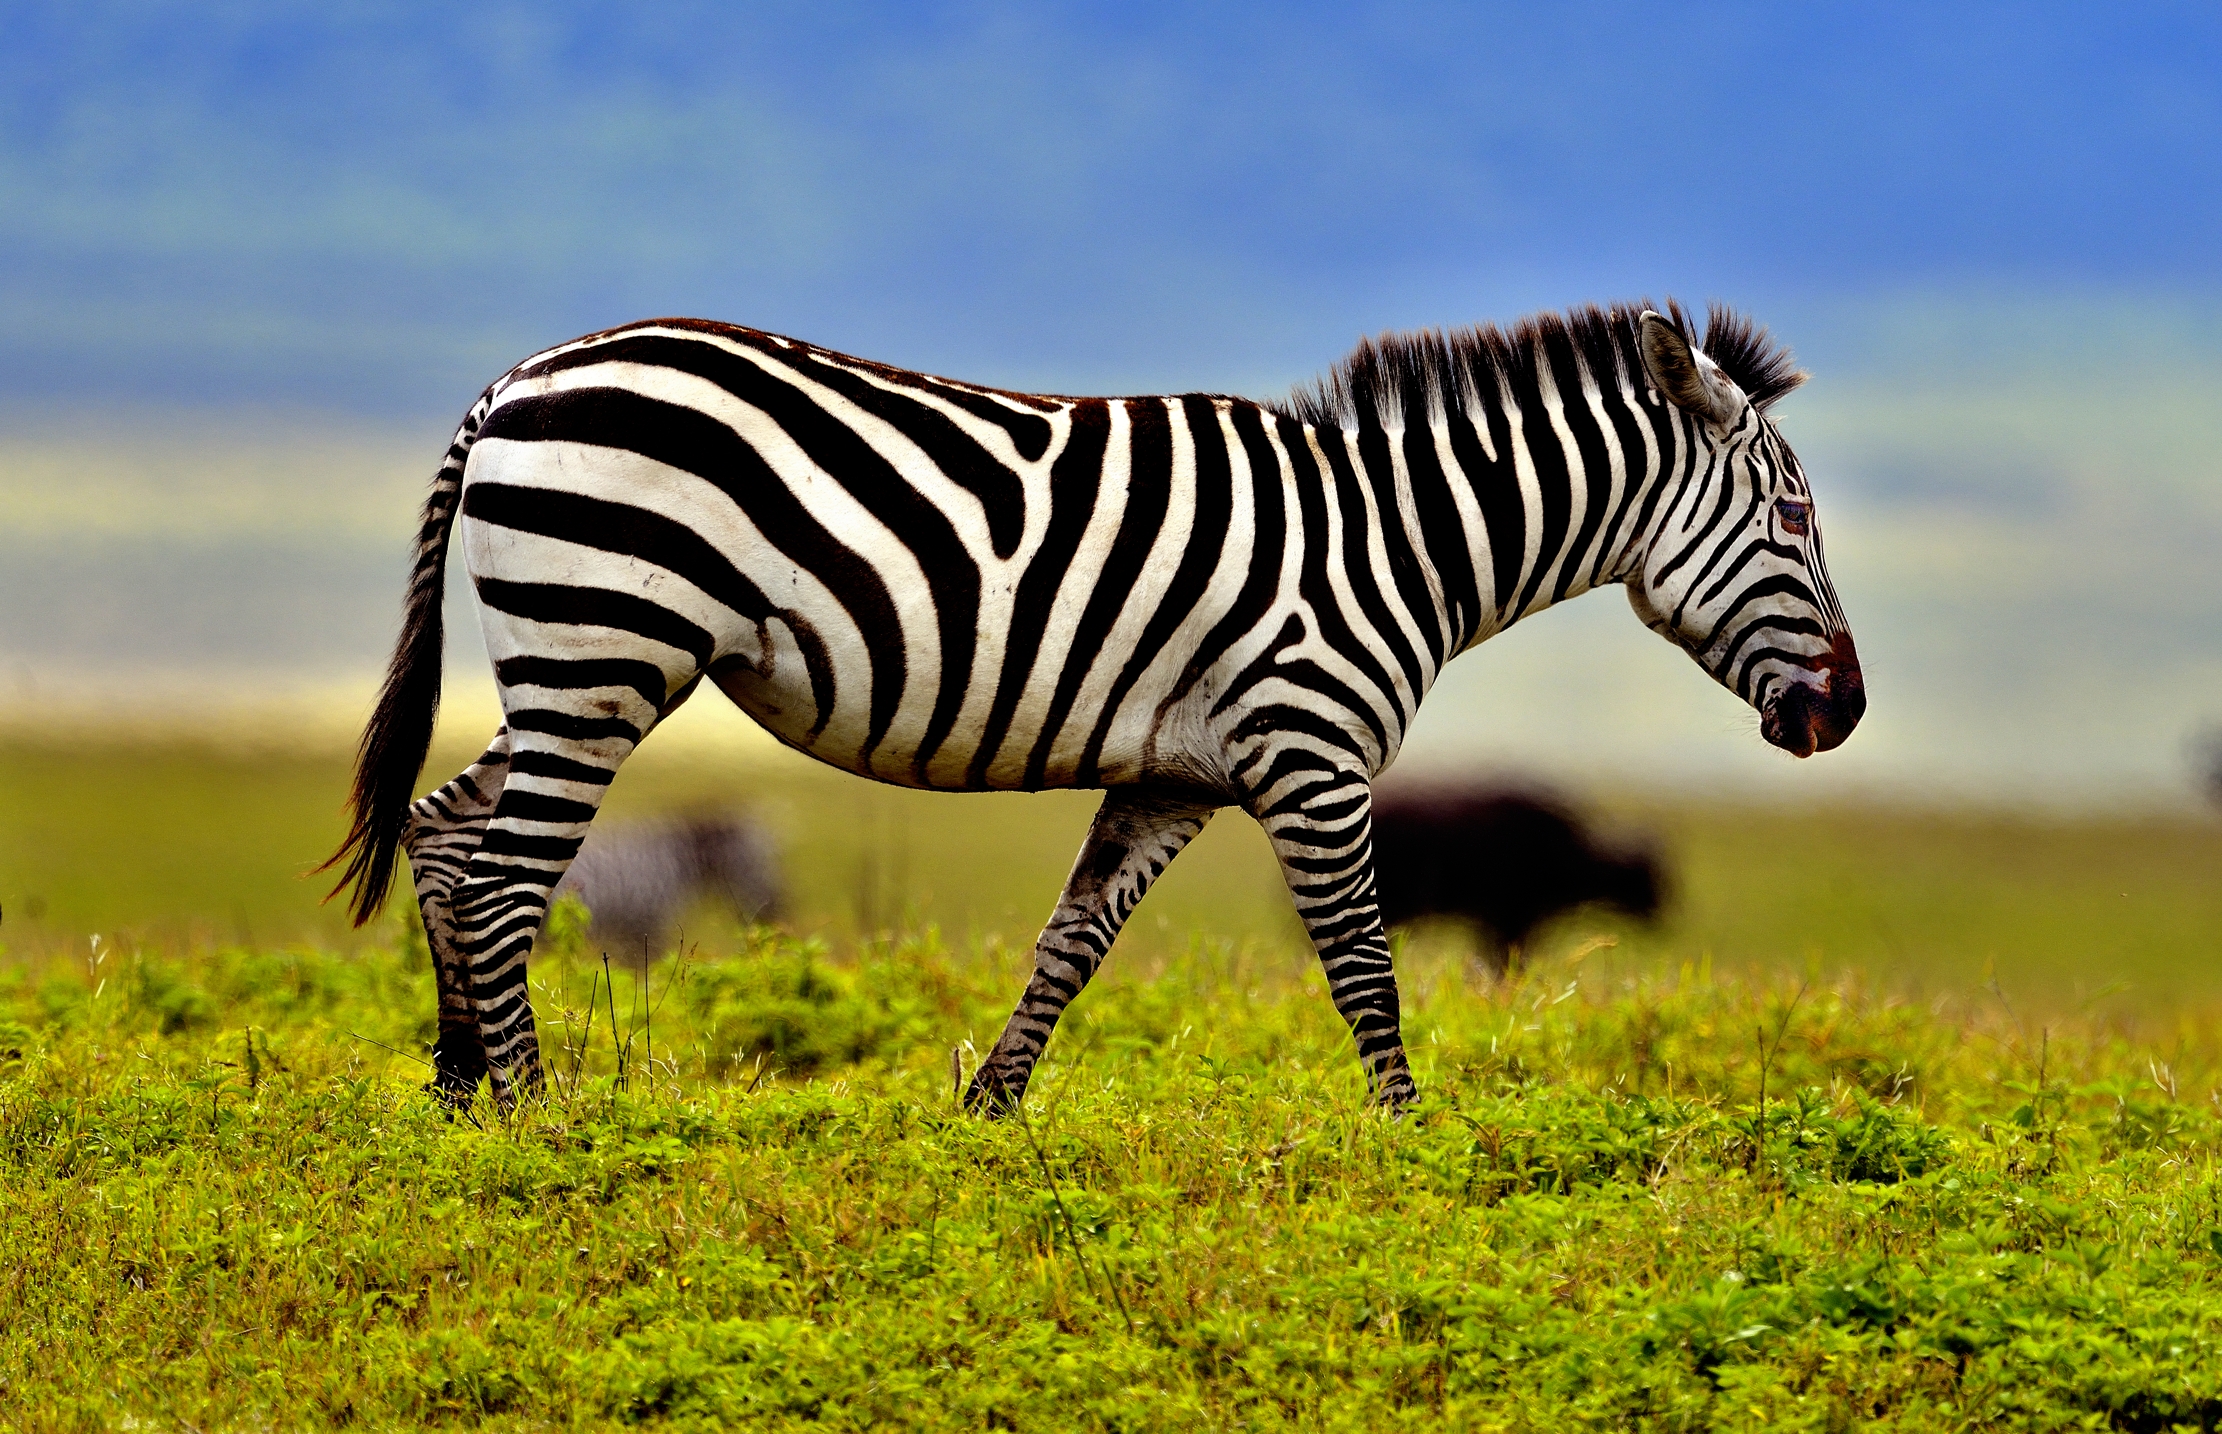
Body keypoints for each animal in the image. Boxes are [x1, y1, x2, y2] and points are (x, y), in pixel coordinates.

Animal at [325, 300, 1863, 1112]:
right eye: (1794, 520)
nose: (1843, 717)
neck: (1396, 541)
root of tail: (513, 380)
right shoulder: (1311, 752)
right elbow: (1362, 965)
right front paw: (1410, 1141)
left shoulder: (1175, 775)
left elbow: (1072, 943)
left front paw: (985, 1112)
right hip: (607, 649)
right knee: (508, 878)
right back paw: (539, 1121)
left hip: (568, 664)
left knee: (445, 834)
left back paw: (457, 1097)